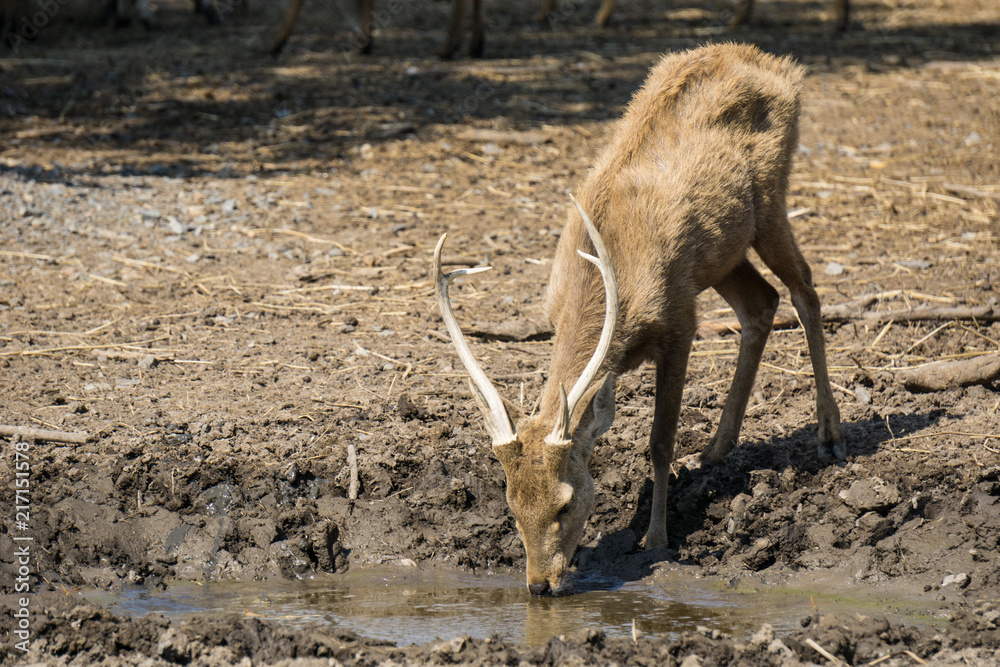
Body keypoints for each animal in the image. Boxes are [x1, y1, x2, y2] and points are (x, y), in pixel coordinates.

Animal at [434, 42, 844, 596]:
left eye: (565, 503)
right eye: (511, 505)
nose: (539, 585)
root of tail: (774, 62)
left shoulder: (680, 321)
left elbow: (659, 440)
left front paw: (655, 538)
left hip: (771, 202)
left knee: (805, 290)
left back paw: (829, 431)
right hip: (723, 251)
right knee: (761, 303)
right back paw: (715, 448)